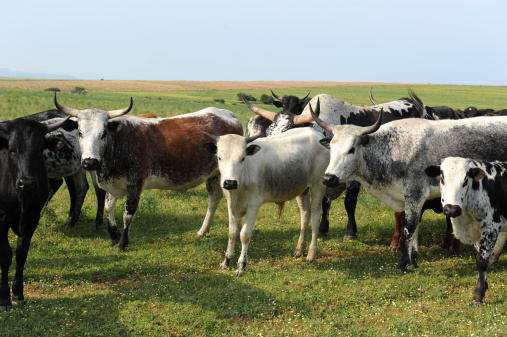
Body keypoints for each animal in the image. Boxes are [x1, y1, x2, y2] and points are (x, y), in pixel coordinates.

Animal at [0, 117, 68, 310]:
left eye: (39, 151)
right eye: (12, 151)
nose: (27, 182)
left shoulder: (33, 218)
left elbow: (21, 253)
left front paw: (18, 294)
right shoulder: (1, 218)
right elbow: (5, 255)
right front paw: (4, 298)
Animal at [55, 94, 244, 249]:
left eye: (103, 134)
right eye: (80, 133)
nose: (89, 162)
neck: (120, 143)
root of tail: (228, 115)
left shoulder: (136, 183)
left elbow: (128, 214)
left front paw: (122, 243)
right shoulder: (114, 183)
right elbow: (109, 207)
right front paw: (114, 236)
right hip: (213, 175)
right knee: (214, 198)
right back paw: (202, 231)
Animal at [204, 127, 332, 274]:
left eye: (242, 158)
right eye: (219, 157)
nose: (230, 183)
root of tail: (315, 132)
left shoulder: (254, 204)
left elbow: (244, 235)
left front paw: (241, 265)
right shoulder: (231, 204)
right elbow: (232, 233)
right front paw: (226, 262)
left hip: (318, 186)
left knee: (316, 217)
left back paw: (311, 255)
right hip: (302, 189)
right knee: (305, 214)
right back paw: (299, 250)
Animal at [310, 101, 507, 270]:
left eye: (351, 149)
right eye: (331, 148)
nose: (329, 178)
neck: (393, 149)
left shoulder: (415, 194)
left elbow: (410, 227)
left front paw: (405, 263)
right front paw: (413, 259)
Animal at [424, 158, 507, 304]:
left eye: (465, 180)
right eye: (442, 178)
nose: (451, 209)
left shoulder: (491, 228)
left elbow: (482, 262)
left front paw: (478, 296)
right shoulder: (474, 232)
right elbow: (478, 256)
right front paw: (484, 286)